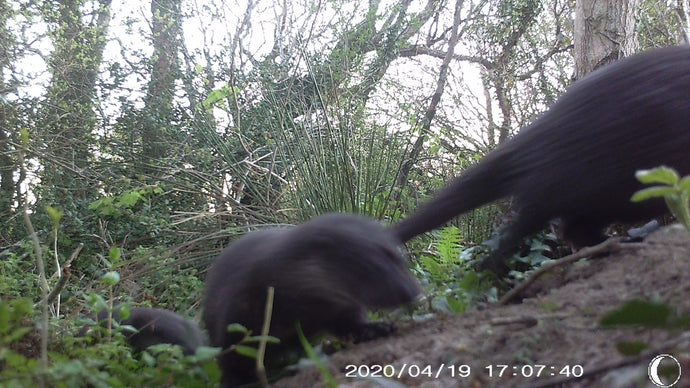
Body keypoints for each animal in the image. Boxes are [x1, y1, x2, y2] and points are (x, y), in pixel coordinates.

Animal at [202, 214, 420, 386]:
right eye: (368, 266)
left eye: (398, 258)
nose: (411, 290)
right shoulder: (233, 318)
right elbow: (231, 358)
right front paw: (236, 381)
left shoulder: (341, 310)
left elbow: (351, 326)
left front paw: (375, 328)